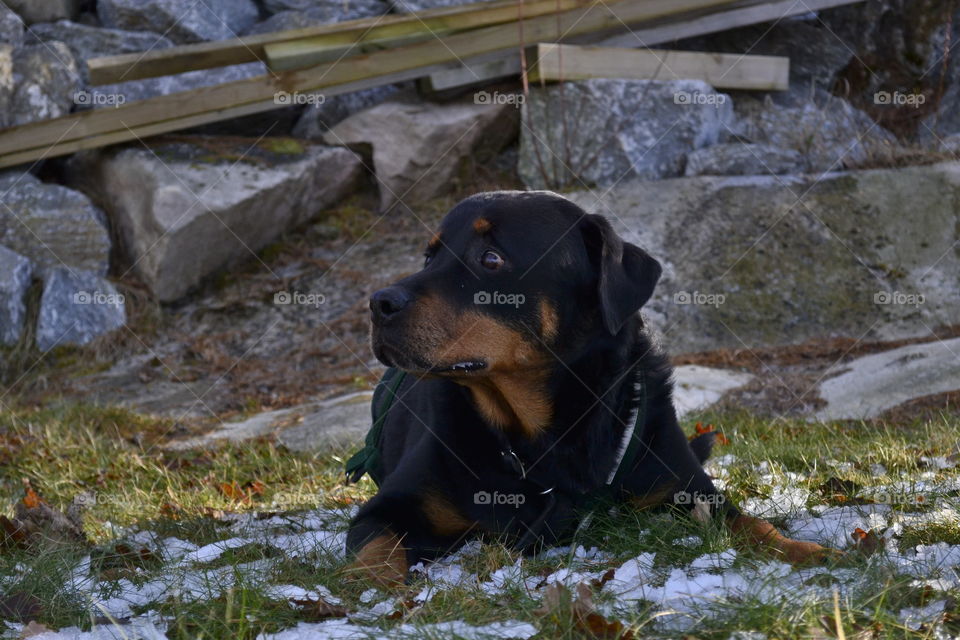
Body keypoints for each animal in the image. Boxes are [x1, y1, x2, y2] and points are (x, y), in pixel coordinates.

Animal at [344, 189, 832, 584]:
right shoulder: (386, 509)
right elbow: (377, 555)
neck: (544, 440)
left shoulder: (688, 485)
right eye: (430, 257)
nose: (378, 302)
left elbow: (749, 522)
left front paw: (801, 550)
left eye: (491, 259)